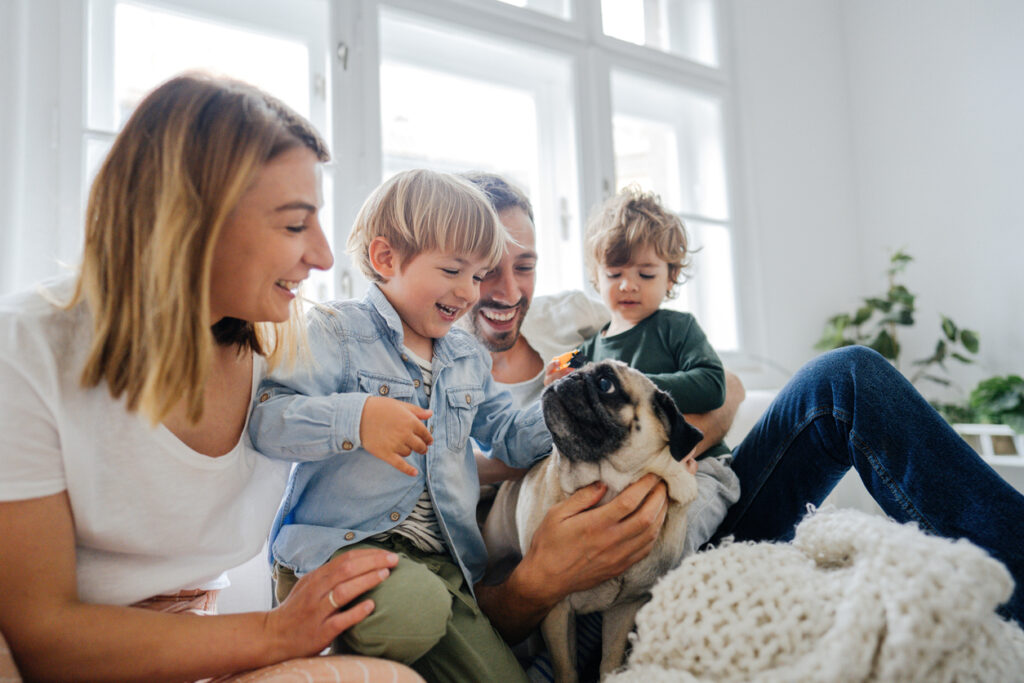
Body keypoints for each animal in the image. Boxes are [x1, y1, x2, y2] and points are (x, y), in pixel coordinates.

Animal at [481, 360, 704, 679]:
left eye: (604, 383)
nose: (569, 376)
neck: (608, 486)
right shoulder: (557, 610)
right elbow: (566, 669)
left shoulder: (624, 609)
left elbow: (609, 663)